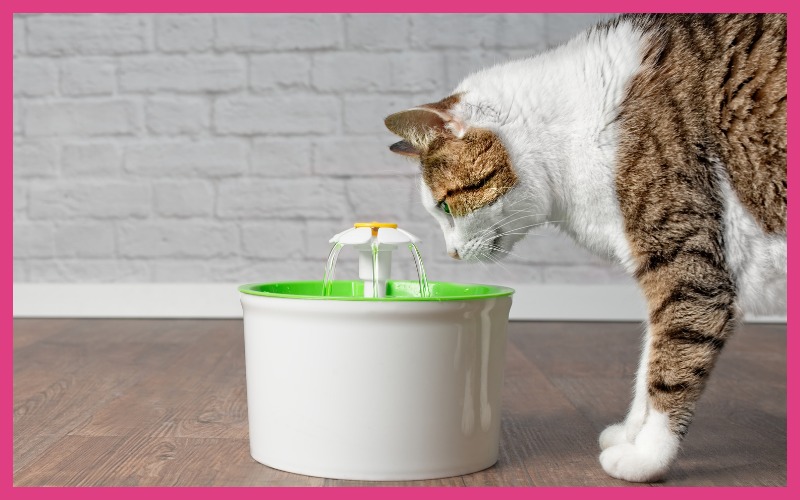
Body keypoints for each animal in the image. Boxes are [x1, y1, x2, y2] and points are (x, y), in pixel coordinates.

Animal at [382, 14, 788, 484]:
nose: (452, 255)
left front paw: (647, 455)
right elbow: (648, 361)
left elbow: (672, 361)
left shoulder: (687, 268)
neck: (570, 131)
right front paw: (631, 432)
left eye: (446, 206)